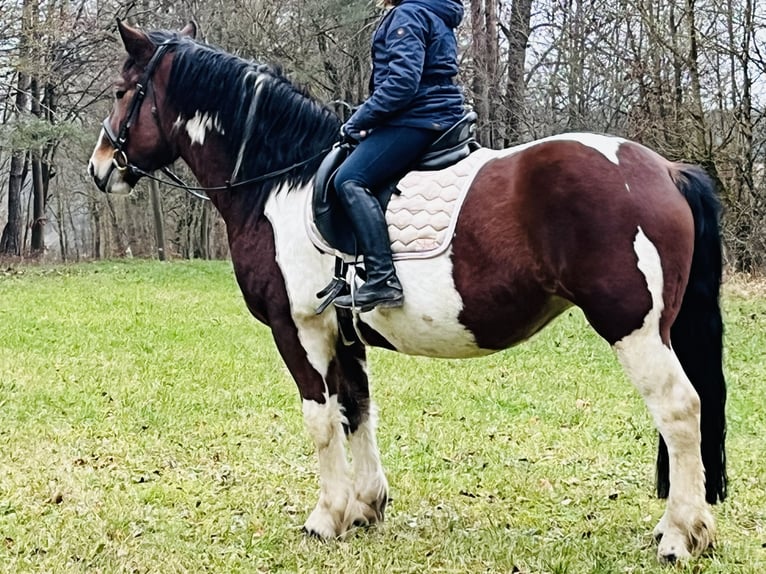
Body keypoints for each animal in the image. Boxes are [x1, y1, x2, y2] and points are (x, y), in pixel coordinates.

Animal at [87, 20, 728, 564]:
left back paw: (679, 535)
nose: (100, 167)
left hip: (634, 329)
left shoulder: (299, 330)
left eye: (123, 91)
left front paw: (326, 517)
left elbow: (320, 420)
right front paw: (365, 508)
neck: (282, 183)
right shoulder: (345, 335)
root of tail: (666, 169)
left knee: (680, 409)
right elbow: (356, 410)